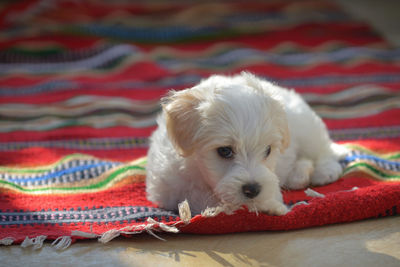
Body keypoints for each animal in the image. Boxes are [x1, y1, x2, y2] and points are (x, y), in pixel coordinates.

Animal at [145, 72, 346, 217]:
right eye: (224, 151)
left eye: (268, 150)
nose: (253, 189)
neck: (198, 170)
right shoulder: (167, 188)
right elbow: (197, 197)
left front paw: (271, 205)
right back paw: (299, 174)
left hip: (307, 130)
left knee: (324, 150)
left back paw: (323, 172)